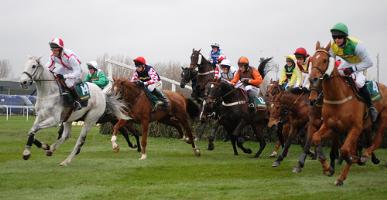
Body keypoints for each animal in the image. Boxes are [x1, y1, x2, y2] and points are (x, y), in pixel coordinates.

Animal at [310, 41, 387, 186]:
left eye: (324, 60)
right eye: (311, 60)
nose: (313, 79)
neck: (338, 97)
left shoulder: (355, 127)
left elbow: (345, 151)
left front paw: (342, 173)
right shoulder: (330, 126)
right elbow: (316, 137)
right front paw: (327, 167)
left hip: (382, 120)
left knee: (378, 139)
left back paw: (365, 156)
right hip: (366, 126)